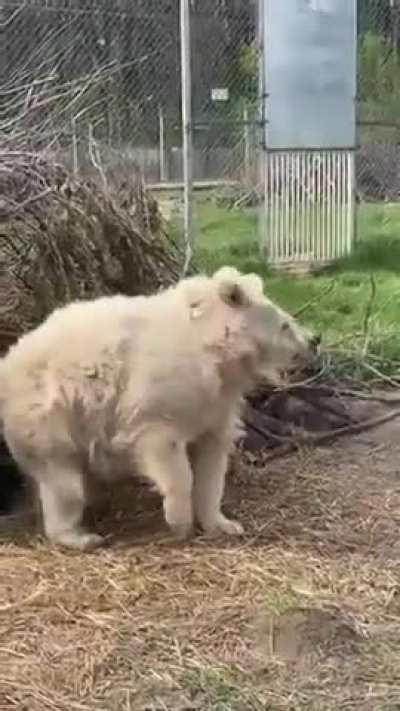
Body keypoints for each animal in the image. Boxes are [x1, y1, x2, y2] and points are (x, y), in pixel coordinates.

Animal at [0, 266, 319, 549]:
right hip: (49, 412)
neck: (212, 347)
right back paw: (81, 537)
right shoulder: (159, 394)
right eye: (286, 325)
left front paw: (224, 524)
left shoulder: (216, 403)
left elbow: (212, 459)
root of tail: (8, 361)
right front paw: (180, 521)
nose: (315, 339)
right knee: (62, 481)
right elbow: (166, 448)